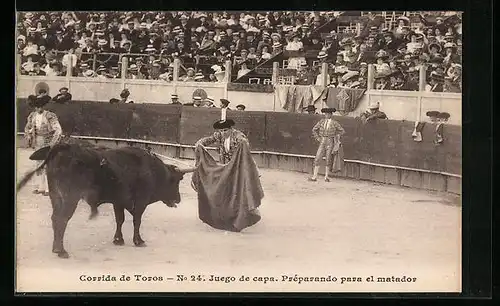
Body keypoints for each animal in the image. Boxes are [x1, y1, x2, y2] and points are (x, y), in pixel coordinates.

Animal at [16, 143, 195, 258]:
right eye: (176, 180)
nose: (178, 199)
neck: (152, 170)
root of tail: (61, 148)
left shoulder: (119, 202)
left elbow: (119, 220)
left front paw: (118, 240)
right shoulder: (140, 202)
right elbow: (137, 221)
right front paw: (138, 241)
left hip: (55, 195)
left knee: (55, 218)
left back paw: (55, 248)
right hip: (70, 197)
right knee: (62, 219)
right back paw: (62, 251)